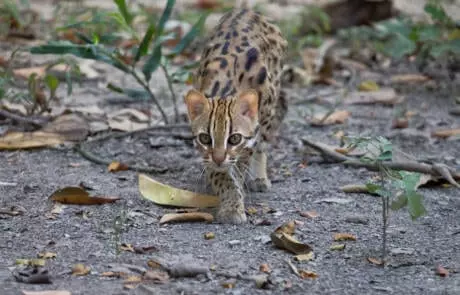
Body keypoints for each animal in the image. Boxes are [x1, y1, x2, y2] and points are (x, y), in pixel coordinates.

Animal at [183, 8, 288, 225]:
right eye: (205, 138)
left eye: (234, 139)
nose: (218, 159)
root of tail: (246, 10)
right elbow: (222, 175)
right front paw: (231, 202)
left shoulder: (248, 140)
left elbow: (241, 163)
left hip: (269, 108)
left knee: (265, 140)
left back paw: (259, 177)